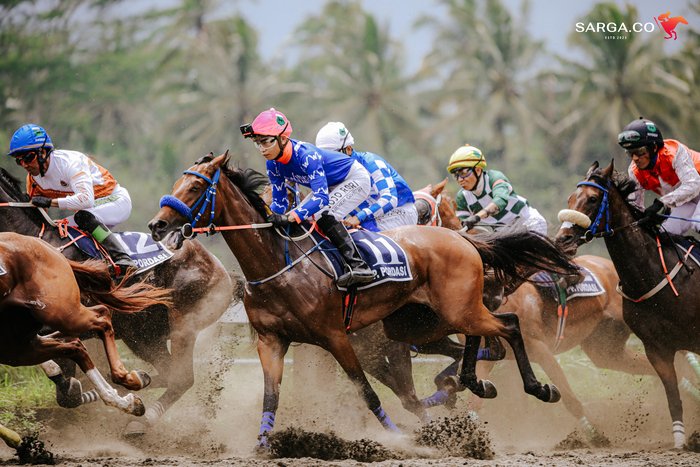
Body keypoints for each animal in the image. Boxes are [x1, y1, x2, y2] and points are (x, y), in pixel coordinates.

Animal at [0, 168, 234, 435]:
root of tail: (223, 272)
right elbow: (66, 387)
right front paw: (76, 386)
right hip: (143, 335)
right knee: (166, 374)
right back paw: (136, 383)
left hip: (183, 324)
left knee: (180, 378)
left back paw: (140, 419)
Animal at [148, 151, 580, 446]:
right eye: (178, 183)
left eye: (196, 187)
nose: (157, 225)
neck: (280, 265)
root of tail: (463, 241)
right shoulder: (271, 341)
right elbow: (271, 397)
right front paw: (262, 446)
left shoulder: (337, 337)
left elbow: (369, 393)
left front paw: (401, 439)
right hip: (424, 321)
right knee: (481, 339)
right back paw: (473, 382)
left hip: (448, 314)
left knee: (508, 327)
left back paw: (539, 389)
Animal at [555, 160, 700, 449]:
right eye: (570, 199)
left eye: (592, 199)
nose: (563, 239)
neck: (650, 274)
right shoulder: (657, 349)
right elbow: (672, 396)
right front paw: (680, 440)